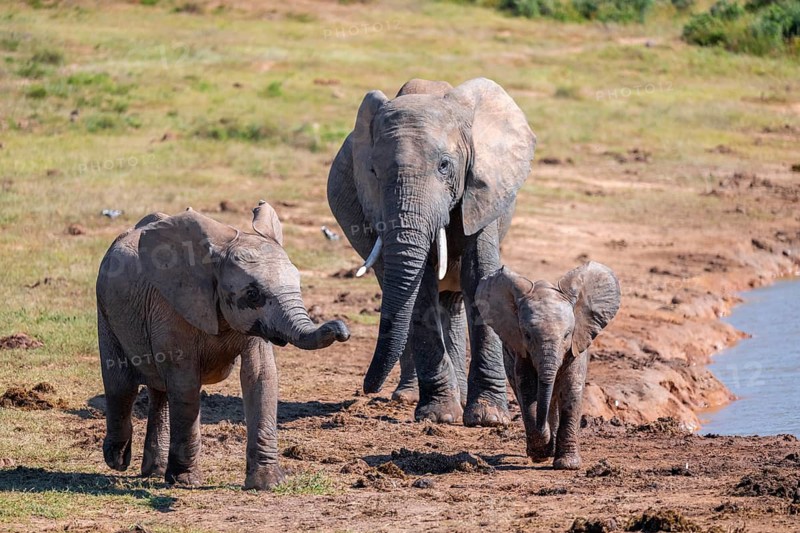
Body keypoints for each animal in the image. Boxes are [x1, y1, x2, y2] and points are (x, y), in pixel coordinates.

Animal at [95, 201, 350, 490]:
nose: (341, 329)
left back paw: (155, 471)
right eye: (252, 294)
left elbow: (260, 376)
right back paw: (117, 460)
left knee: (159, 391)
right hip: (106, 310)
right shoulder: (173, 308)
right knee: (121, 385)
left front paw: (268, 484)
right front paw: (186, 482)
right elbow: (185, 384)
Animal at [327, 77, 536, 426]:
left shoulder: (483, 192)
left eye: (444, 166)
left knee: (451, 301)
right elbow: (420, 289)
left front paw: (488, 418)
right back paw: (411, 397)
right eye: (373, 172)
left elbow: (479, 277)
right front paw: (438, 416)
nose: (367, 389)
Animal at [476, 262, 620, 469]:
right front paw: (540, 453)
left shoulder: (576, 346)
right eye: (527, 335)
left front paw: (567, 465)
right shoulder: (521, 350)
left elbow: (571, 389)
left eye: (567, 335)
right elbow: (527, 389)